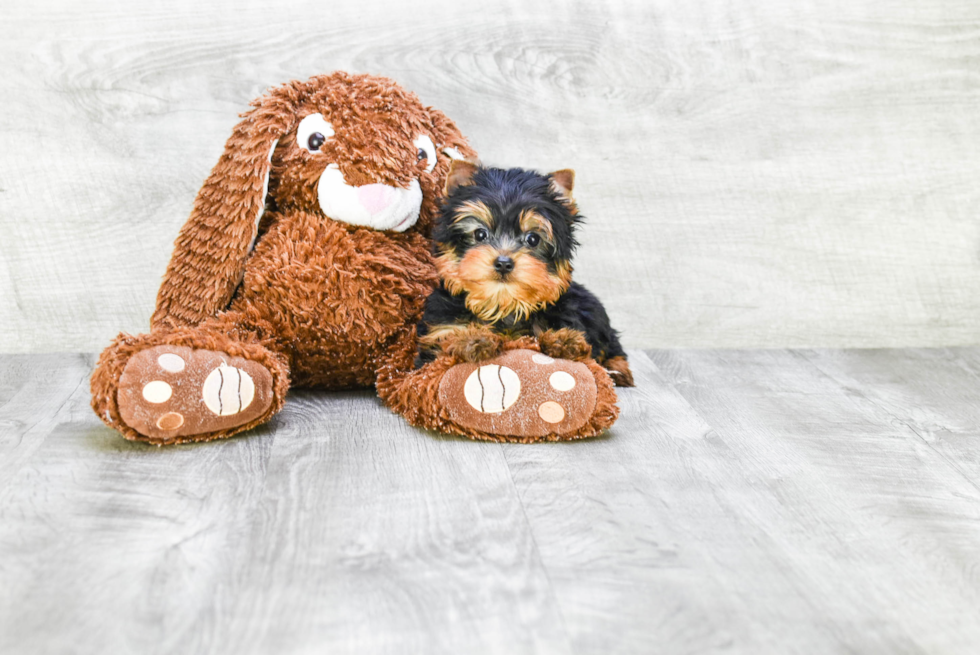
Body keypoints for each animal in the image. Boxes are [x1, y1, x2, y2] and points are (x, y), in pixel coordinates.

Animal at [416, 163, 636, 386]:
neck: (503, 304)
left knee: (613, 346)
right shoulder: (440, 330)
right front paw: (472, 339)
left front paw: (563, 340)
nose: (504, 263)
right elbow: (444, 346)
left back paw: (618, 371)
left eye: (533, 239)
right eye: (479, 234)